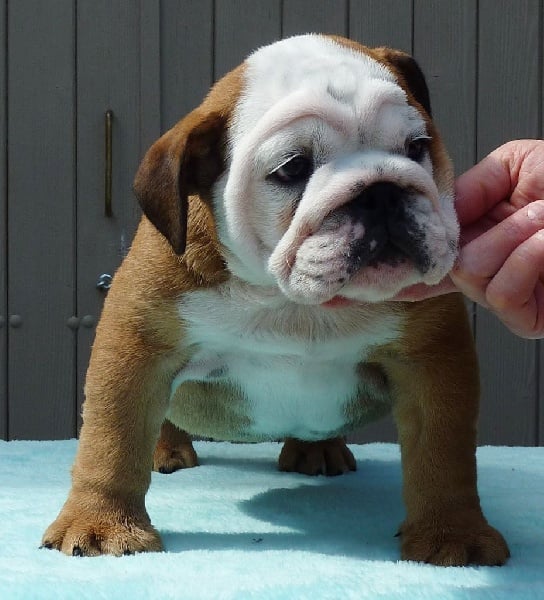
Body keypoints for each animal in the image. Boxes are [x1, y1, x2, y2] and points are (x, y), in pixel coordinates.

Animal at [42, 34, 509, 566]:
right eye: (294, 168)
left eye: (418, 147)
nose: (382, 191)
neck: (290, 301)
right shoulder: (138, 344)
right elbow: (113, 438)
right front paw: (102, 524)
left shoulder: (433, 360)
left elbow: (443, 453)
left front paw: (454, 533)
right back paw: (168, 450)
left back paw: (317, 450)